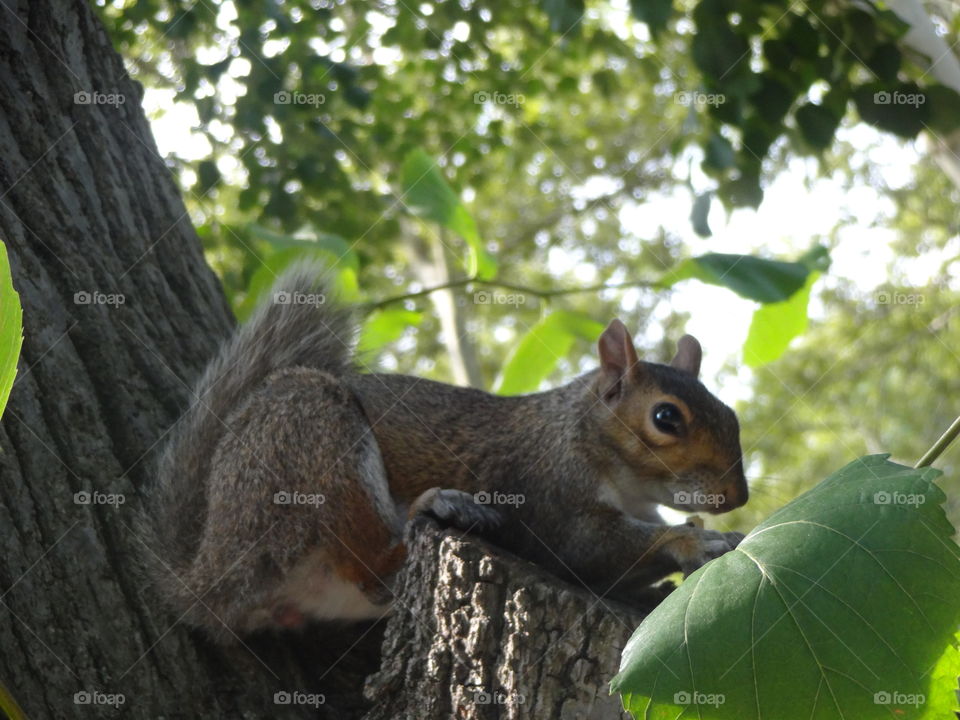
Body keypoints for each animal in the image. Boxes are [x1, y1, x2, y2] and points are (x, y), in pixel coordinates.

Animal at [143, 264, 748, 642]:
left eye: (732, 414)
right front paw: (693, 540)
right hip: (310, 440)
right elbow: (588, 548)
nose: (736, 496)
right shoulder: (548, 488)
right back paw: (438, 507)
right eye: (666, 418)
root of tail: (206, 577)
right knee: (371, 562)